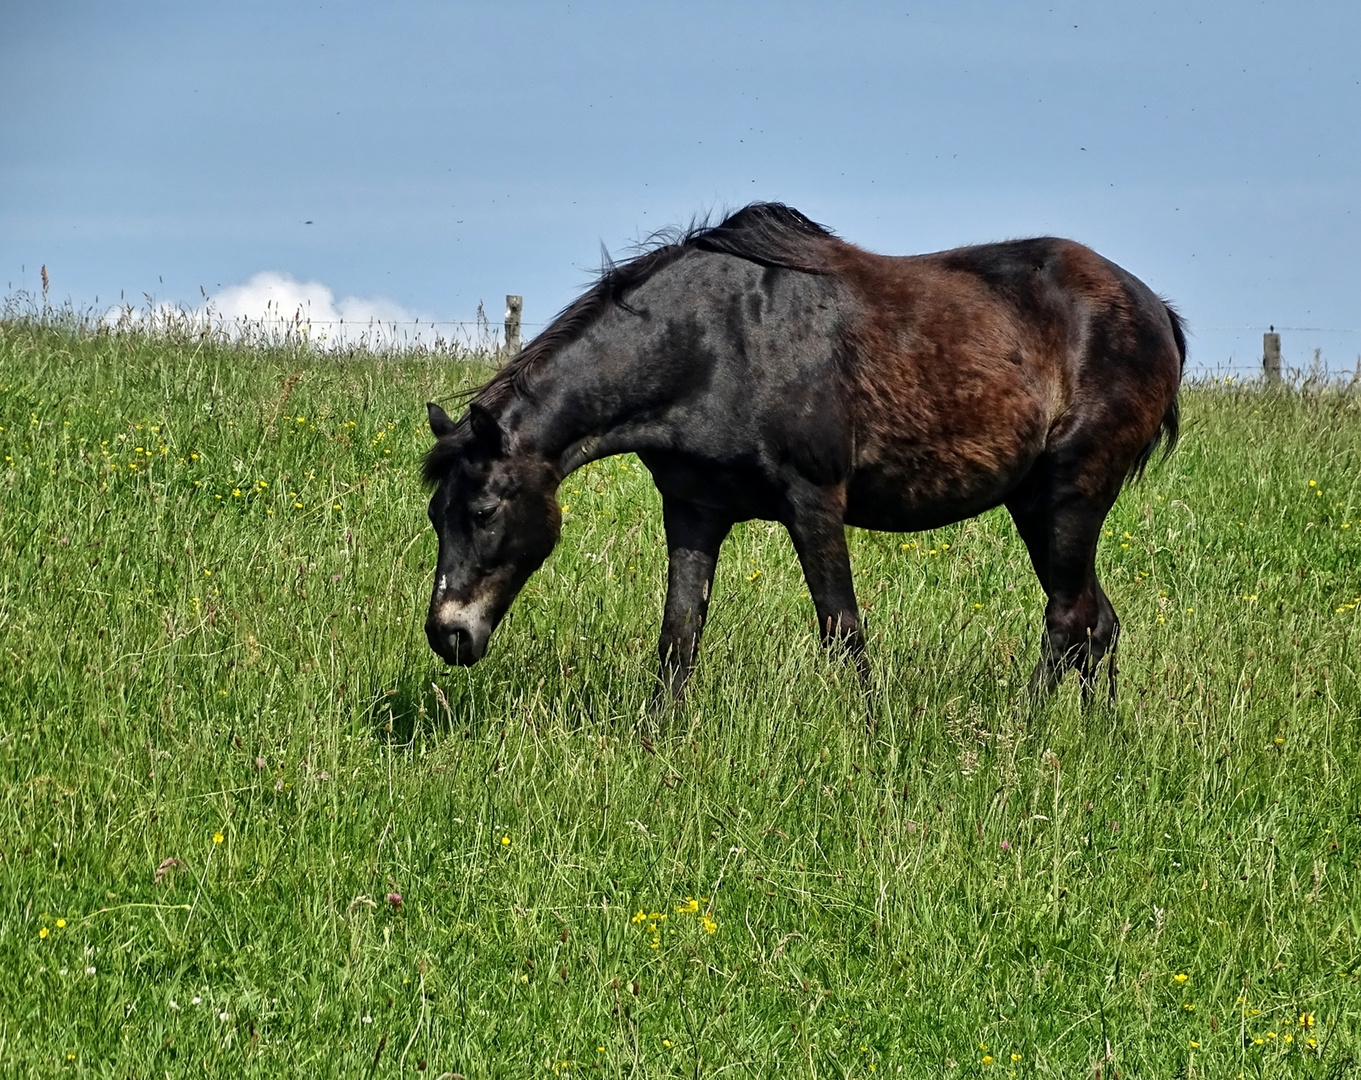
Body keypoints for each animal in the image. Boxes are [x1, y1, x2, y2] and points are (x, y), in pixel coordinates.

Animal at [419, 204, 1186, 696]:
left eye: (484, 511)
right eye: (435, 515)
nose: (447, 636)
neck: (712, 342)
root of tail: (1159, 315)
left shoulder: (813, 501)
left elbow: (842, 631)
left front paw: (870, 742)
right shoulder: (693, 509)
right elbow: (679, 635)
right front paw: (657, 743)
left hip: (1069, 493)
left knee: (1068, 620)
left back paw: (1025, 734)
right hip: (1035, 505)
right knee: (1095, 622)